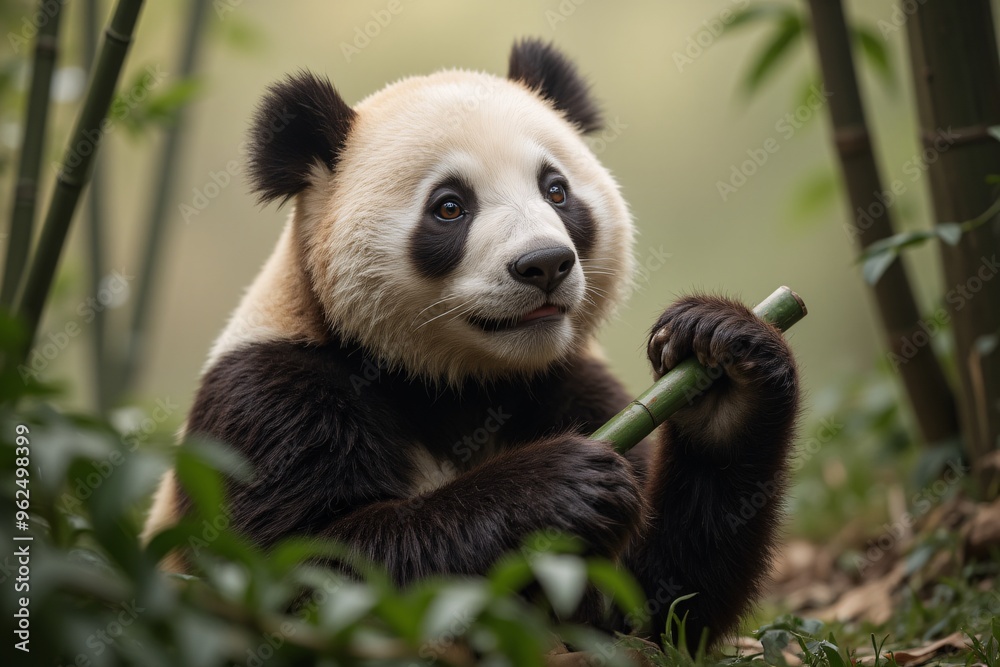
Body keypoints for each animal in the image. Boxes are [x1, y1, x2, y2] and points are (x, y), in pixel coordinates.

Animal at [143, 39, 799, 647]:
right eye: (450, 206)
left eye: (556, 190)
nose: (545, 264)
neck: (454, 380)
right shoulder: (271, 397)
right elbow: (303, 573)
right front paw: (558, 485)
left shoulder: (564, 381)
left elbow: (653, 604)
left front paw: (720, 353)